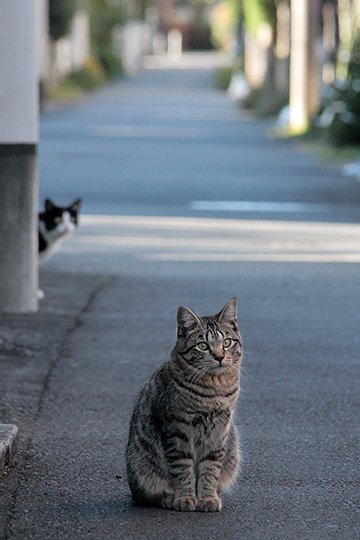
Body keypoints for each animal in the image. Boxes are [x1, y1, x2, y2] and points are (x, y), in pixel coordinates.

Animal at [125, 298, 243, 512]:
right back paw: (168, 498)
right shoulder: (176, 430)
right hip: (141, 465)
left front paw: (208, 498)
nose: (219, 356)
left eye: (227, 342)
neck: (214, 389)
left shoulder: (219, 432)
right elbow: (182, 469)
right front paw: (186, 497)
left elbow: (210, 469)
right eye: (203, 346)